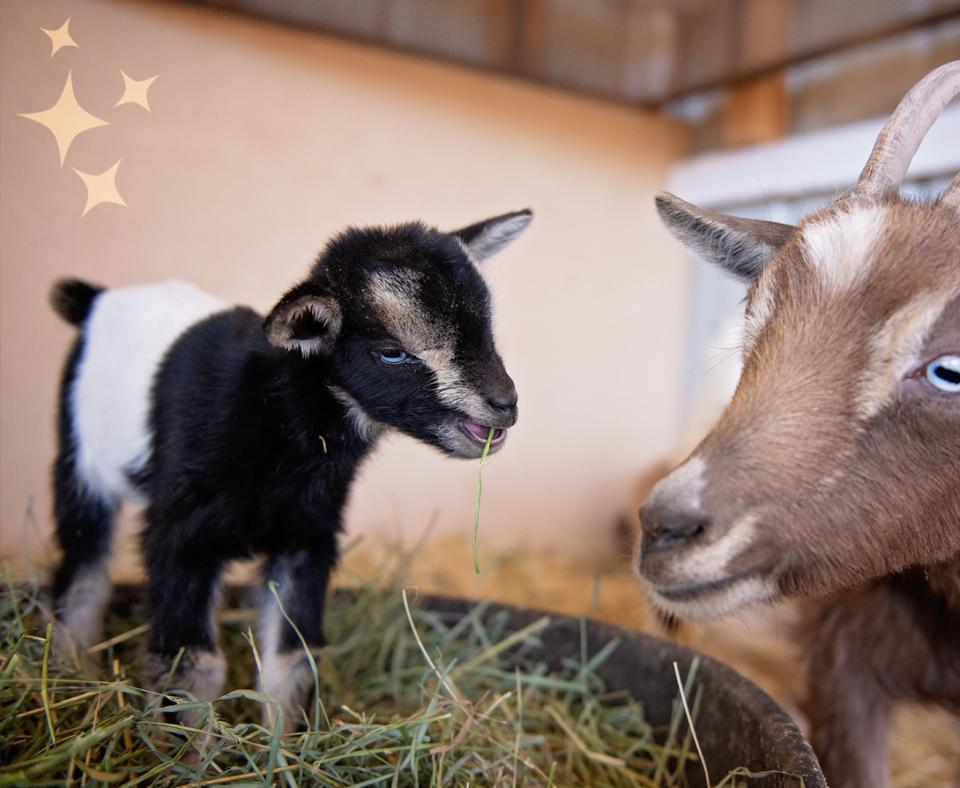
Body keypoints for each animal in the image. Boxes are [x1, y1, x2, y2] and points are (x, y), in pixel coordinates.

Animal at [48, 209, 532, 728]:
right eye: (392, 351)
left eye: (487, 330)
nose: (505, 404)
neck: (273, 413)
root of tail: (99, 299)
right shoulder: (180, 536)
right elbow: (190, 666)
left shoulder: (306, 537)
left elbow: (291, 659)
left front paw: (286, 738)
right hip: (78, 459)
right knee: (82, 567)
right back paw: (72, 671)